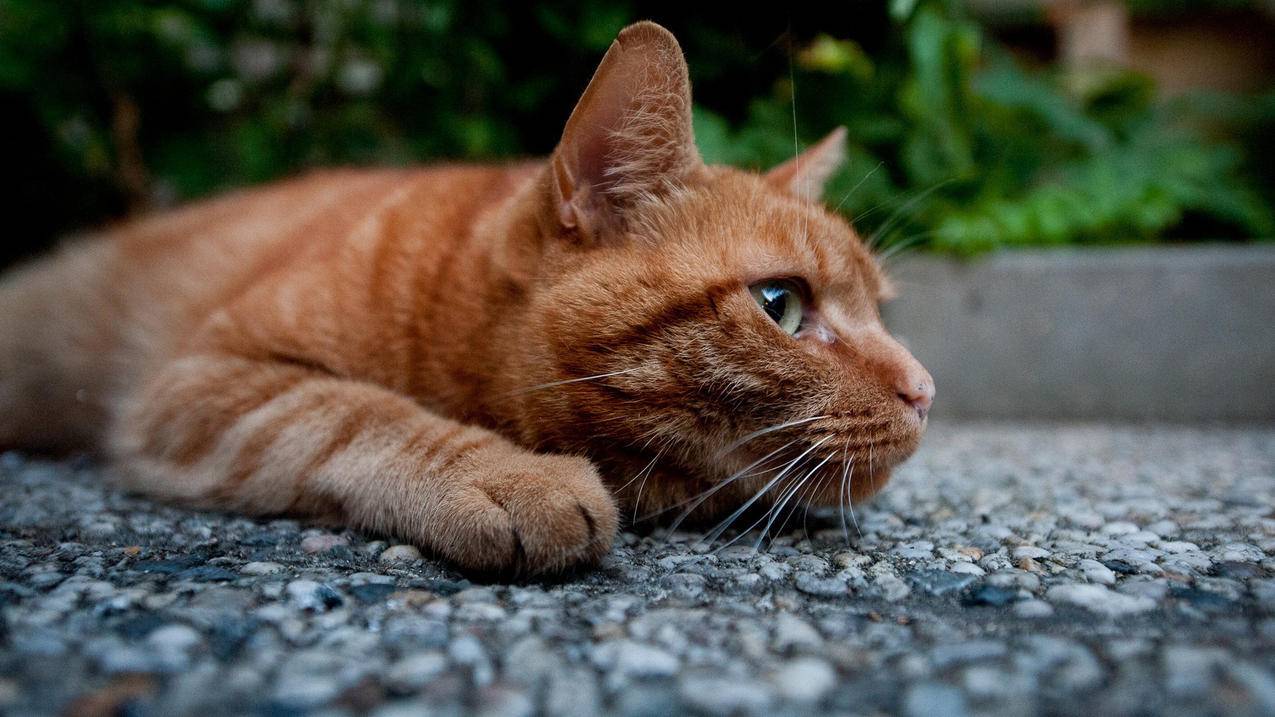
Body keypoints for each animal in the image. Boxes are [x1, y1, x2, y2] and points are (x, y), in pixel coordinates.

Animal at [2, 22, 938, 574]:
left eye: (880, 308)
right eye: (781, 304)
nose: (925, 390)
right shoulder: (199, 382)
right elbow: (354, 411)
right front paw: (505, 473)